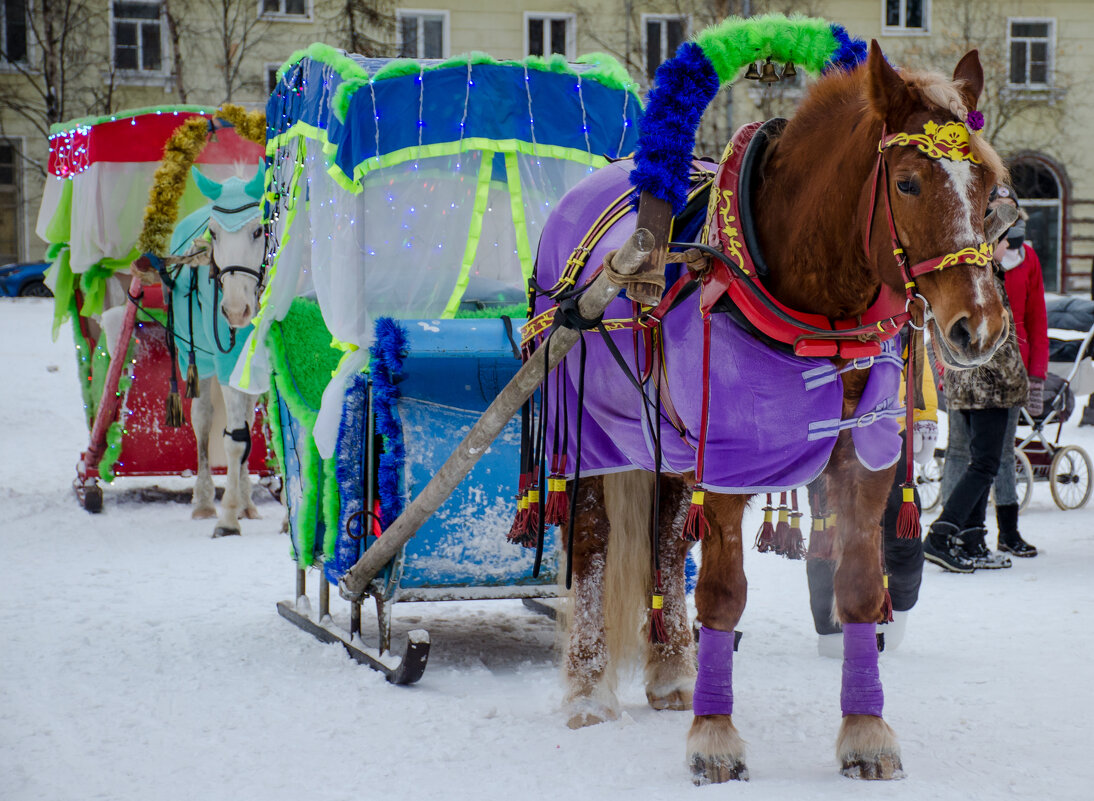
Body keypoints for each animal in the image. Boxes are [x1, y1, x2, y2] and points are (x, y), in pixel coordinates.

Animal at [542, 42, 1010, 783]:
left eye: (988, 186)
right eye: (908, 183)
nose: (981, 326)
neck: (815, 304)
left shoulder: (863, 462)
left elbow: (858, 587)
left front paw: (866, 730)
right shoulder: (730, 464)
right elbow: (723, 594)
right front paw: (714, 737)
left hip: (672, 444)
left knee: (665, 542)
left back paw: (672, 672)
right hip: (590, 428)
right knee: (591, 541)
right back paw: (589, 689)